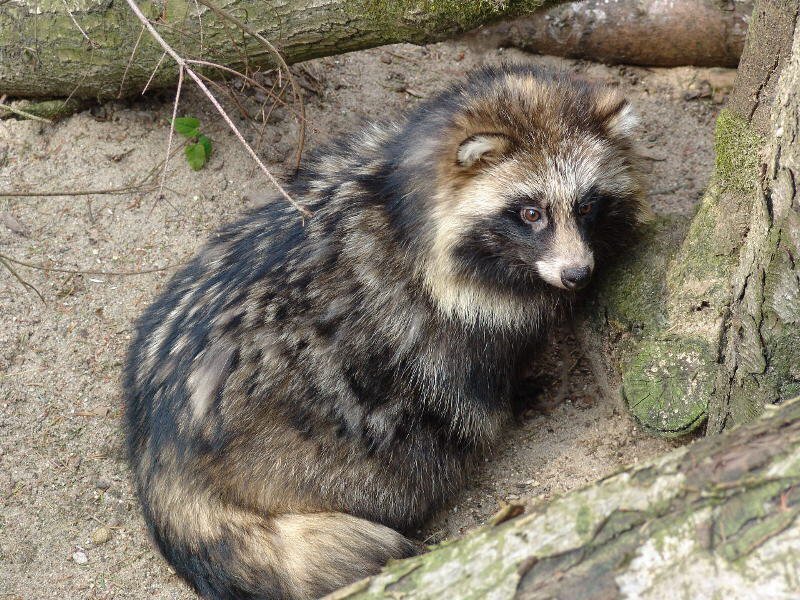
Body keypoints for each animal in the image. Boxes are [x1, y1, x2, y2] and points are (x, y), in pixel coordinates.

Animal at [124, 64, 648, 600]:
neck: (396, 195)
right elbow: (470, 379)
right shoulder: (447, 323)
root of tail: (160, 453)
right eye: (530, 212)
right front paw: (516, 395)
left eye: (586, 207)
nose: (577, 274)